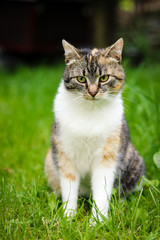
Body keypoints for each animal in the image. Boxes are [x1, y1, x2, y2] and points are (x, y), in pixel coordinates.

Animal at [44, 39, 145, 221]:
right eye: (81, 78)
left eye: (104, 78)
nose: (92, 92)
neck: (90, 112)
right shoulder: (65, 154)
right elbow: (69, 188)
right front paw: (68, 217)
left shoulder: (107, 156)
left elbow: (102, 192)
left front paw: (97, 221)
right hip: (49, 161)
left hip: (135, 165)